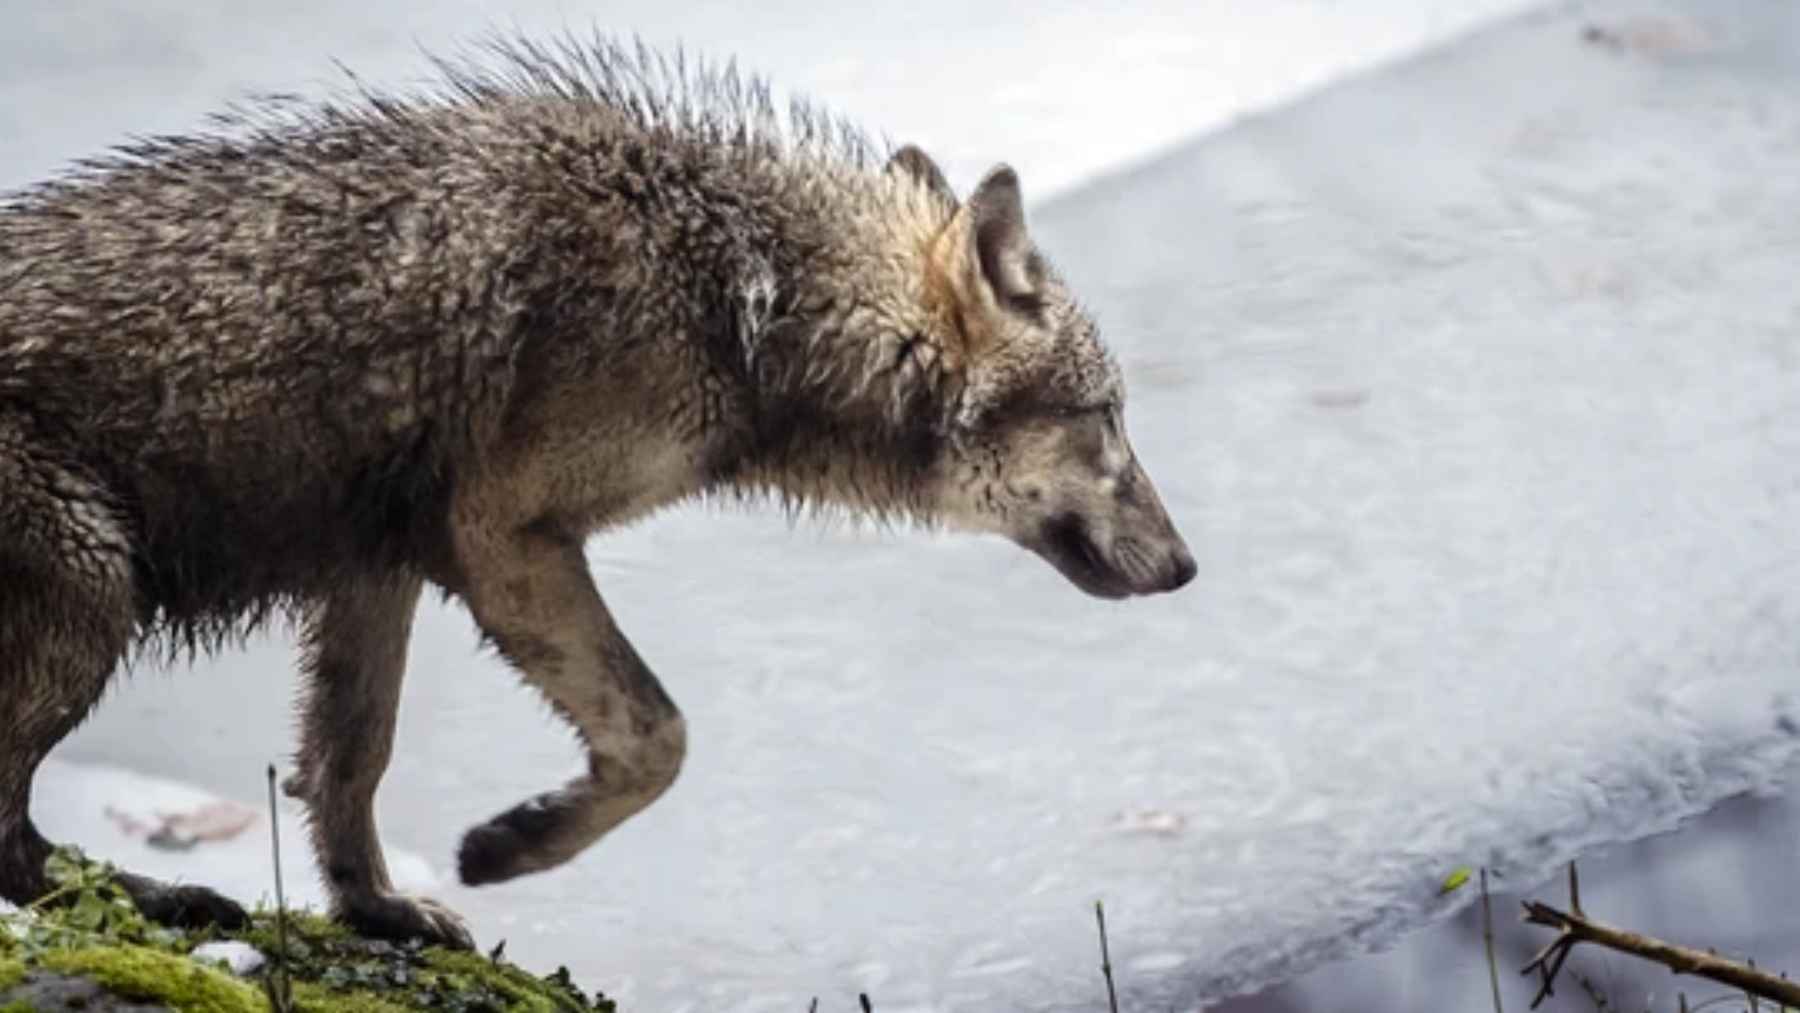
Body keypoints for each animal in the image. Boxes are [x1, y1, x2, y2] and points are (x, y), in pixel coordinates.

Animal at [0, 35, 1195, 947]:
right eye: (1107, 419)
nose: (1189, 567)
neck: (740, 295)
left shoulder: (381, 564)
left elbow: (347, 764)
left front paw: (380, 909)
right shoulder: (504, 538)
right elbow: (660, 736)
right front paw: (512, 843)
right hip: (95, 599)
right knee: (13, 839)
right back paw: (158, 898)